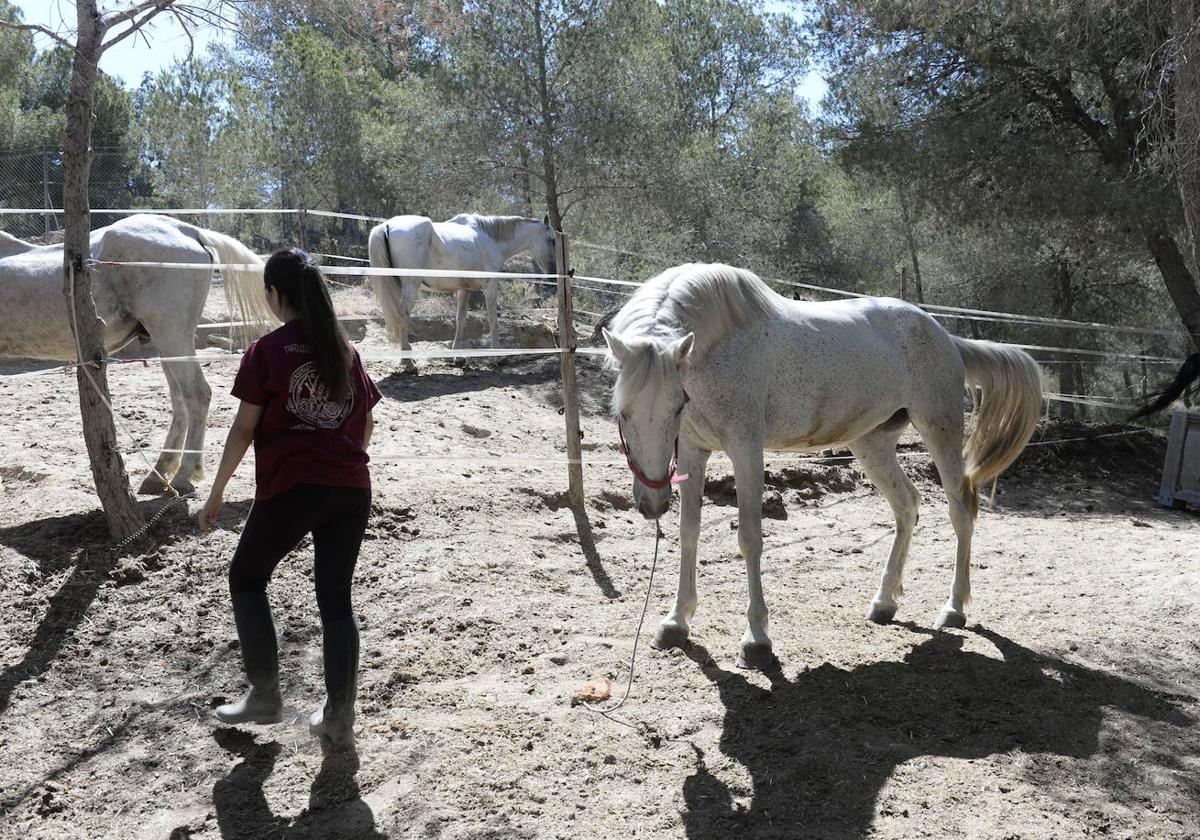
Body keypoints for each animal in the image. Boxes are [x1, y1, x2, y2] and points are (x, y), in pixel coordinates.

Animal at [0, 213, 274, 494]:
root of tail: (188, 231)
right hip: (166, 344)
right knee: (180, 400)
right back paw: (159, 472)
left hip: (171, 334)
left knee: (197, 393)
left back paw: (183, 475)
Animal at [364, 211, 556, 369]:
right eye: (552, 239)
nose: (553, 272)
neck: (490, 238)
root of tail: (386, 226)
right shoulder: (490, 287)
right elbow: (493, 320)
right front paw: (497, 356)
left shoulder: (464, 290)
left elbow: (460, 320)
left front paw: (458, 356)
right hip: (410, 287)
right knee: (402, 316)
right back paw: (408, 363)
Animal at [604, 264, 1046, 667]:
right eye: (622, 412)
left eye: (677, 407)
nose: (652, 503)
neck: (717, 349)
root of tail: (943, 335)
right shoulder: (694, 452)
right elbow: (689, 533)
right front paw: (676, 622)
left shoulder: (746, 450)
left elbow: (749, 538)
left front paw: (757, 639)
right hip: (872, 443)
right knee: (907, 506)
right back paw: (884, 602)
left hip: (941, 431)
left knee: (960, 512)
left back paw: (954, 608)